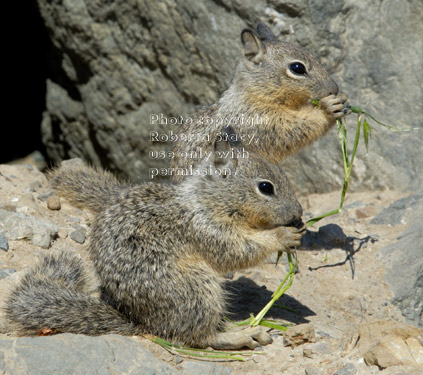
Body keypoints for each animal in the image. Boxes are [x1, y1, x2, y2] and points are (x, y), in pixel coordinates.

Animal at [5, 128, 304, 352]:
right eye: (265, 187)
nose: (300, 215)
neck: (208, 200)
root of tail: (143, 323)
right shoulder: (206, 229)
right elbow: (237, 251)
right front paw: (284, 236)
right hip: (197, 287)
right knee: (197, 336)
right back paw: (242, 335)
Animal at [171, 23, 350, 182]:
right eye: (297, 68)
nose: (334, 89)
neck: (254, 95)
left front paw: (344, 101)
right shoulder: (261, 123)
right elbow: (293, 130)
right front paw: (328, 107)